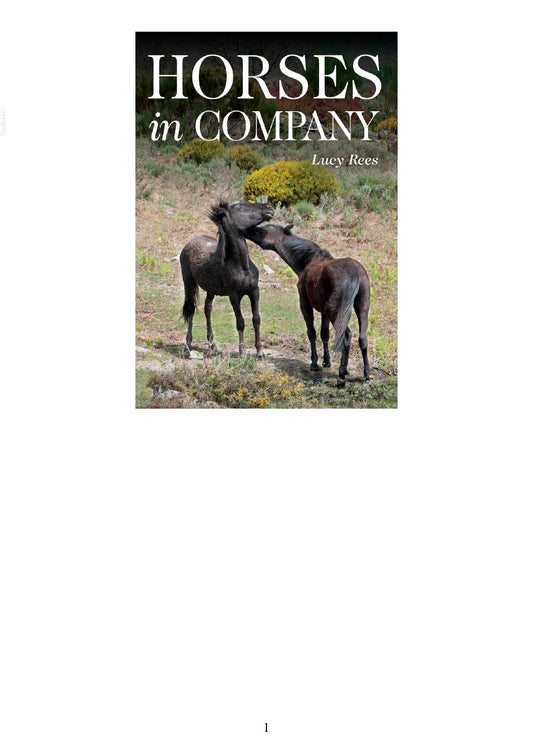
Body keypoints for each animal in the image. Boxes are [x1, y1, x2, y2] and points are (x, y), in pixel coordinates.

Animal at [172, 201, 274, 357]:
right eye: (240, 207)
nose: (269, 208)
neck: (242, 266)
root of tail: (190, 242)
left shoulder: (254, 291)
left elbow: (256, 319)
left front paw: (260, 352)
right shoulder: (234, 296)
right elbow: (240, 322)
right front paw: (242, 351)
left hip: (210, 290)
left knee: (207, 309)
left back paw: (212, 344)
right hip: (189, 283)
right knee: (191, 310)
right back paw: (187, 346)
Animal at [245, 223, 372, 386]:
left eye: (265, 228)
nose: (248, 229)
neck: (308, 261)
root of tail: (354, 273)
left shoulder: (305, 304)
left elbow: (311, 332)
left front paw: (315, 363)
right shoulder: (324, 311)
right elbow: (324, 334)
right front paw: (326, 362)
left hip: (336, 312)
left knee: (346, 336)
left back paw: (342, 375)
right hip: (361, 309)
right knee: (362, 338)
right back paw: (366, 374)